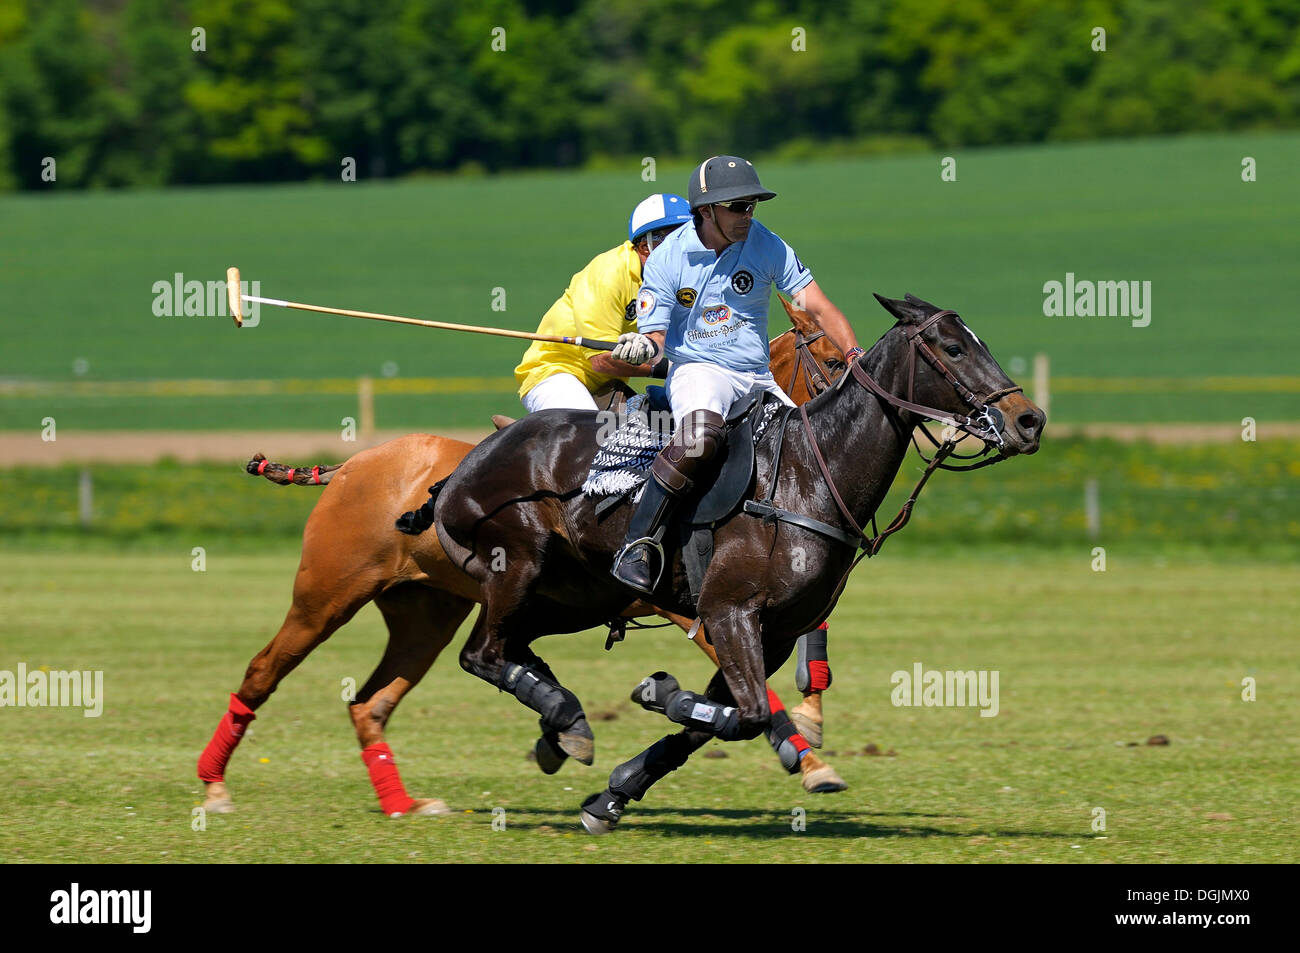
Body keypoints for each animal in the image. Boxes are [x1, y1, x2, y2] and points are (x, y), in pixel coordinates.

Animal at [192, 301, 842, 816]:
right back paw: (215, 787)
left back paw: (405, 803)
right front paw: (810, 760)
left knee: (371, 704)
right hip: (327, 592)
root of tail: (350, 465)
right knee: (264, 670)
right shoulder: (695, 606)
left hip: (425, 613)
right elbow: (750, 687)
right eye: (834, 361)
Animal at [434, 293, 1045, 826]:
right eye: (953, 348)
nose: (1030, 421)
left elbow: (711, 726)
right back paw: (563, 714)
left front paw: (613, 794)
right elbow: (745, 715)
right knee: (482, 654)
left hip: (577, 595)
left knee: (510, 646)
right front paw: (661, 692)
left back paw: (566, 723)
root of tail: (470, 461)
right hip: (519, 564)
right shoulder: (728, 613)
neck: (808, 474)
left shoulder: (775, 633)